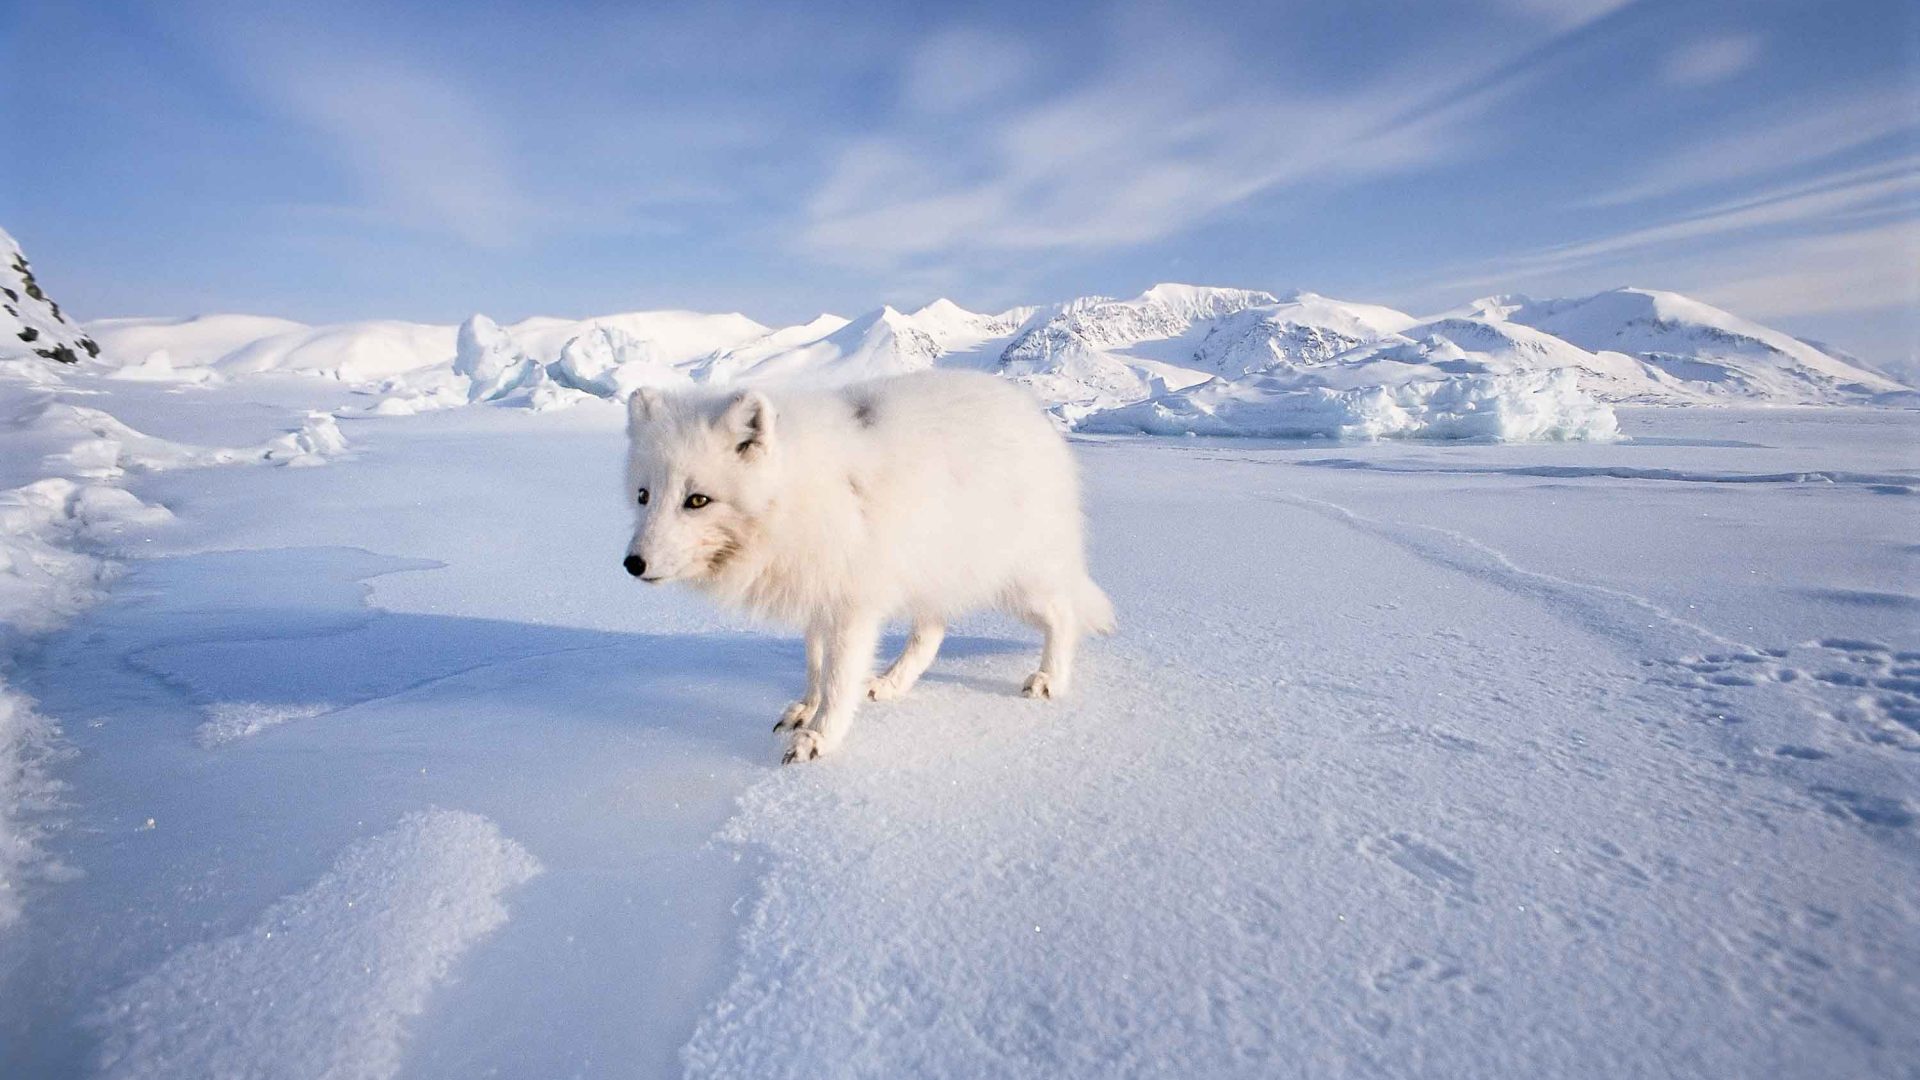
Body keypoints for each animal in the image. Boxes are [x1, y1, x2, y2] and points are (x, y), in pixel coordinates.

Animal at [622, 369, 1114, 763]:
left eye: (697, 500)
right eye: (643, 495)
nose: (632, 563)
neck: (797, 495)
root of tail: (1034, 418)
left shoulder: (852, 605)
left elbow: (839, 679)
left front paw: (819, 738)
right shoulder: (820, 595)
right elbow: (816, 666)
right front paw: (806, 709)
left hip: (1016, 578)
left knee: (1063, 613)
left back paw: (1051, 678)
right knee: (931, 632)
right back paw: (891, 683)